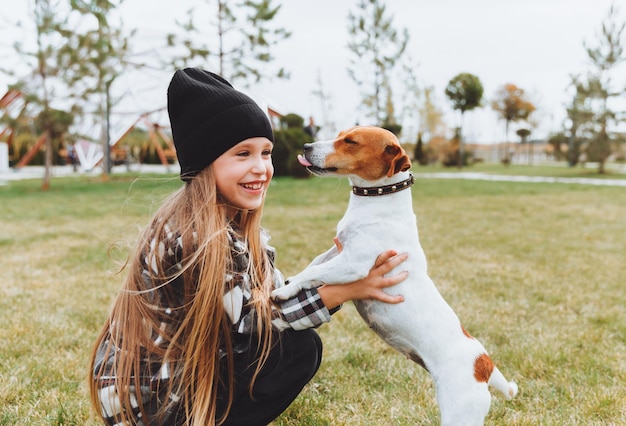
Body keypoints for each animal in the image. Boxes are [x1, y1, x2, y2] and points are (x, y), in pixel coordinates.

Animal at [270, 125, 516, 424]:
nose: (306, 146)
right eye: (340, 135)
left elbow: (318, 270)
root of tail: (484, 363)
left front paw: (285, 289)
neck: (378, 201)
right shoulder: (338, 250)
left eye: (350, 142)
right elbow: (316, 263)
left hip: (460, 412)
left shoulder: (354, 262)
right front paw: (292, 282)